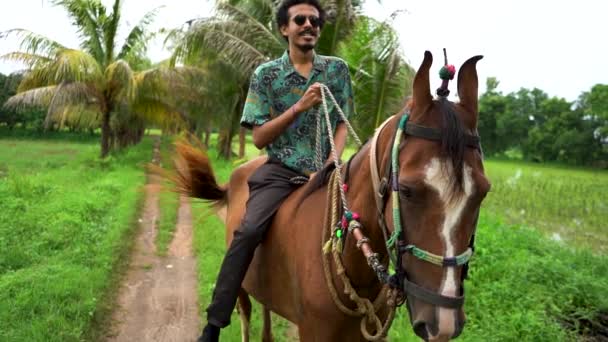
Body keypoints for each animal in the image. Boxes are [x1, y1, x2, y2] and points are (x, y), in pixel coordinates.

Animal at [169, 49, 492, 340]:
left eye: (482, 194)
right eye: (408, 190)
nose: (443, 323)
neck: (353, 263)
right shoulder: (313, 331)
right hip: (241, 284)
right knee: (245, 316)